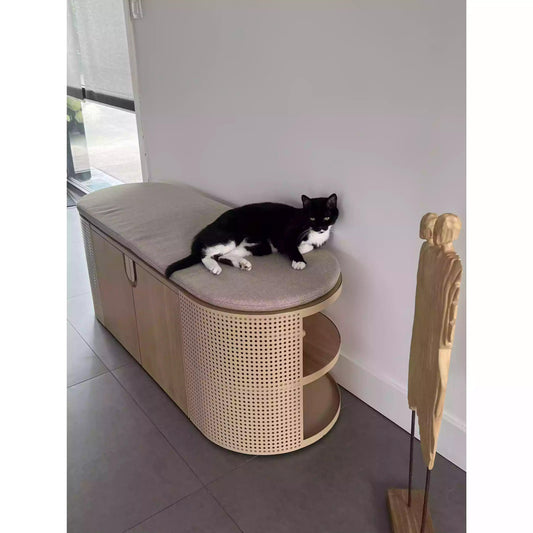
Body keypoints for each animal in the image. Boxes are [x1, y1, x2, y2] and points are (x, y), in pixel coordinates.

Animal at [164, 194, 336, 278]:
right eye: (312, 218)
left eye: (327, 217)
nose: (321, 228)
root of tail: (202, 232)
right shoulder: (286, 236)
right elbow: (293, 247)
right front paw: (299, 262)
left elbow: (309, 247)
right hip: (232, 237)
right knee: (205, 254)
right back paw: (214, 267)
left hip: (257, 247)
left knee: (221, 256)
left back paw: (242, 264)